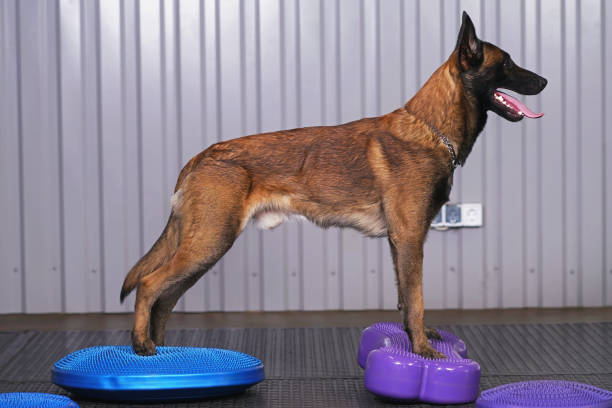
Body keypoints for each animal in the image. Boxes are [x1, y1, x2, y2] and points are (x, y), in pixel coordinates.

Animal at [118, 11, 544, 358]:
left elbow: (405, 300)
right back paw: (141, 345)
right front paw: (423, 350)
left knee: (165, 298)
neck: (432, 129)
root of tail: (199, 157)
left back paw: (159, 351)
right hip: (209, 241)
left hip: (204, 248)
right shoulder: (410, 237)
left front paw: (415, 338)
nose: (544, 80)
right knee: (149, 285)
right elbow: (418, 299)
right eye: (507, 62)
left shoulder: (399, 243)